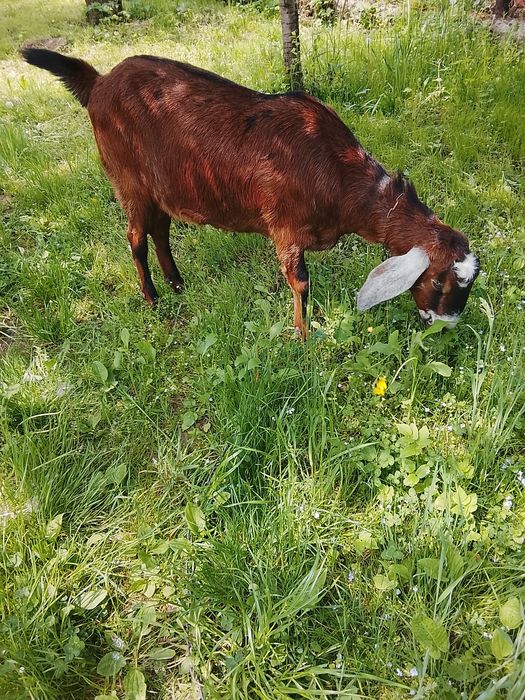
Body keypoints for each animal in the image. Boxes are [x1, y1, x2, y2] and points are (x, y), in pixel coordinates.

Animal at [21, 48, 479, 337]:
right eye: (440, 282)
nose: (447, 326)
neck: (340, 174)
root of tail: (98, 83)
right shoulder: (286, 229)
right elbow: (301, 283)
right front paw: (302, 337)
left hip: (161, 187)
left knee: (160, 232)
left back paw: (177, 284)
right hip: (128, 181)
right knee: (135, 237)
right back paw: (152, 299)